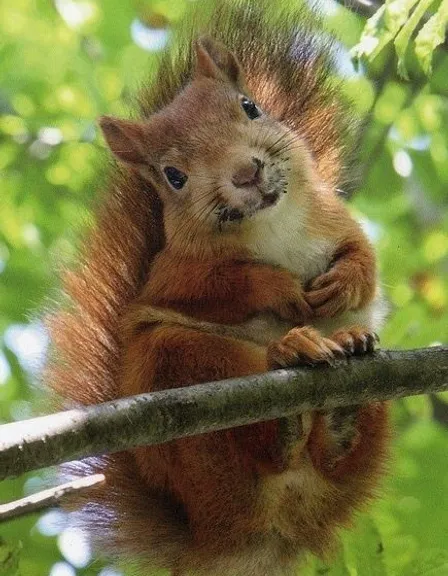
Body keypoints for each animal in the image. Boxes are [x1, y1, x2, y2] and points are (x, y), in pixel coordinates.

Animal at [44, 2, 388, 572]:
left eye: (251, 107)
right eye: (174, 176)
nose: (246, 172)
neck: (271, 224)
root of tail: (243, 538)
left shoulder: (332, 218)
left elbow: (364, 256)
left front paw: (345, 282)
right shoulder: (174, 273)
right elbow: (224, 285)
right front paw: (278, 287)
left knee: (334, 461)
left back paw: (344, 393)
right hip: (180, 369)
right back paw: (290, 369)